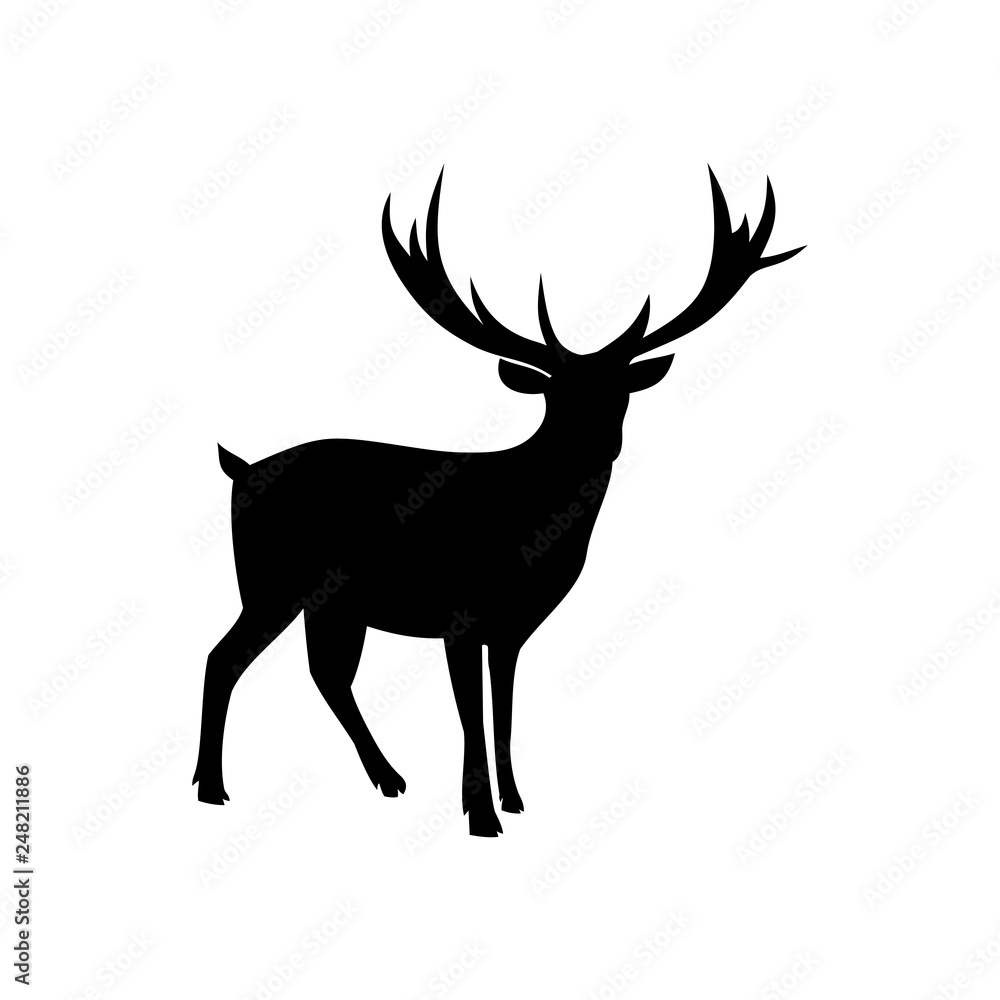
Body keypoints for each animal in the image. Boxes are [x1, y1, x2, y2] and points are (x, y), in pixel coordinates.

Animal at [193, 166, 804, 836]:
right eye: (557, 395)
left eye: (618, 392)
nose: (599, 442)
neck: (530, 533)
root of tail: (239, 470)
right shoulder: (460, 613)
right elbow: (471, 716)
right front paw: (481, 817)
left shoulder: (512, 628)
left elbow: (504, 712)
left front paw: (514, 802)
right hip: (269, 580)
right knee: (224, 658)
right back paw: (213, 789)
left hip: (334, 603)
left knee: (325, 674)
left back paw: (389, 779)